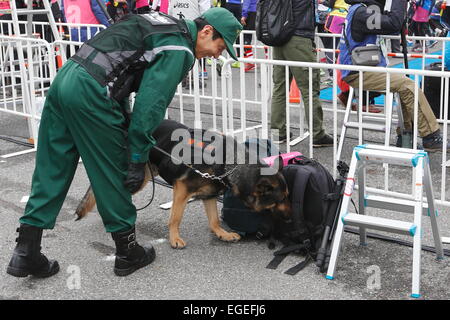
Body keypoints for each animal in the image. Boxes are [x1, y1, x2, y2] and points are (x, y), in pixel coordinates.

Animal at [74, 119, 292, 248]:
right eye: (279, 200)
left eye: (287, 197)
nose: (290, 218)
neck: (227, 162)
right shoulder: (181, 190)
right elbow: (175, 217)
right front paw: (174, 238)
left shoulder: (209, 195)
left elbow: (214, 220)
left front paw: (222, 233)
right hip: (136, 179)